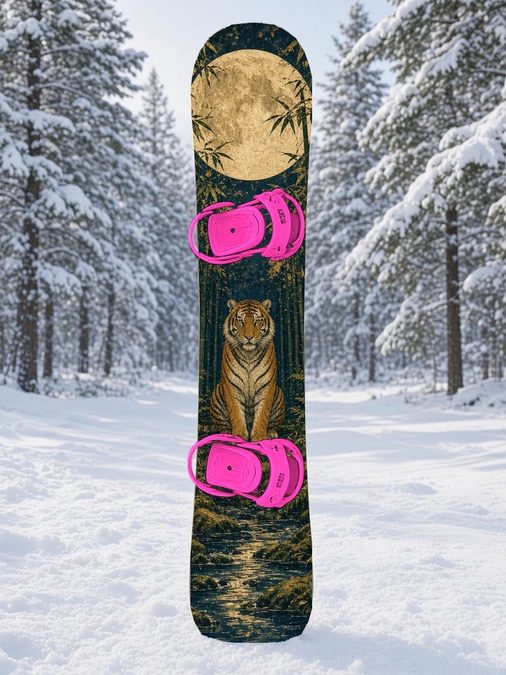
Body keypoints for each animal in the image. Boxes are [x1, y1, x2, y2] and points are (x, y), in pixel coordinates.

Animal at [210, 299, 285, 441]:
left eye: (257, 321)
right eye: (241, 321)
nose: (249, 337)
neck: (248, 354)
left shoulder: (266, 385)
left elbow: (262, 413)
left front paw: (260, 437)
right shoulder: (231, 385)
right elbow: (236, 413)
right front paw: (239, 435)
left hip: (278, 392)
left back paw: (271, 432)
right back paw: (226, 432)